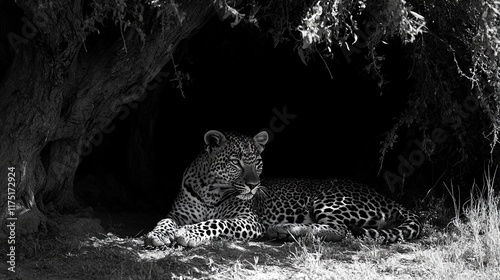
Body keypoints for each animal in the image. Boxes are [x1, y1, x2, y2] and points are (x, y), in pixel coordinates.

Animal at [145, 129, 422, 247]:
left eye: (257, 162)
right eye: (236, 162)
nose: (254, 185)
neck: (209, 190)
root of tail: (384, 196)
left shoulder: (248, 219)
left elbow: (216, 223)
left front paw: (189, 234)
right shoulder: (178, 213)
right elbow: (164, 220)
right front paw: (158, 234)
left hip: (329, 200)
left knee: (341, 230)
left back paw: (285, 229)